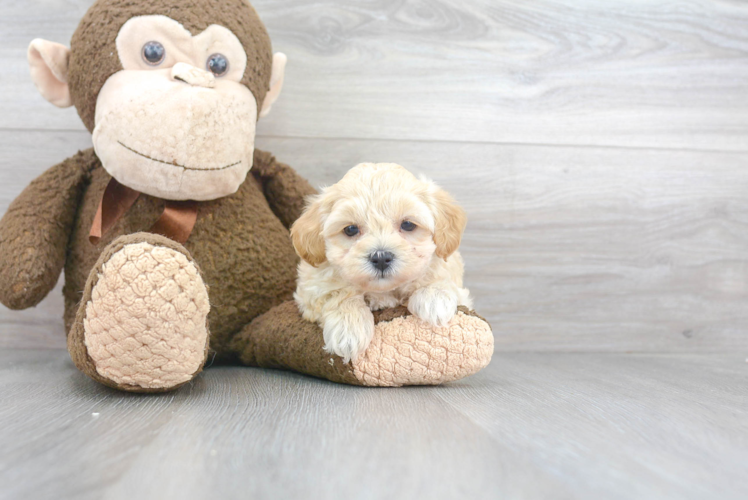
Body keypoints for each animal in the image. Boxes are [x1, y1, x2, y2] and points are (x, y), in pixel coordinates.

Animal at [290, 164, 470, 364]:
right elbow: (337, 294)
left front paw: (434, 299)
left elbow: (440, 279)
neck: (384, 291)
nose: (381, 257)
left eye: (408, 225)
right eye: (350, 229)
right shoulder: (310, 288)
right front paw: (349, 330)